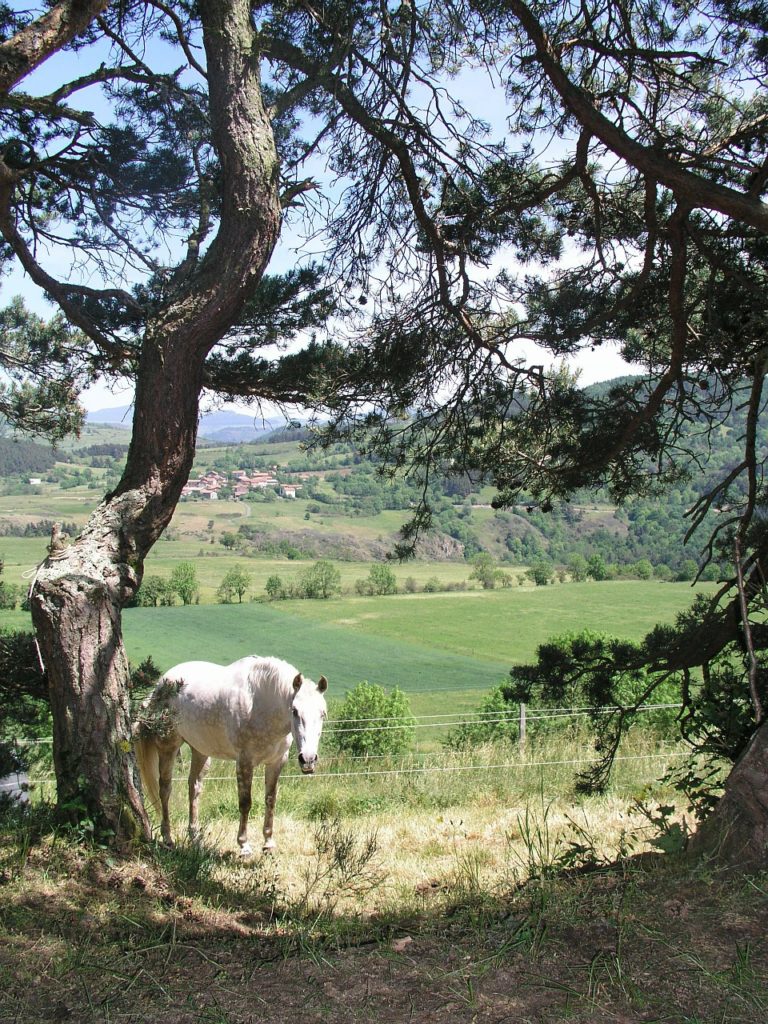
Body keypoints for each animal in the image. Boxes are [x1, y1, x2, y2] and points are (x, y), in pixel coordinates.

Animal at [134, 655, 329, 856]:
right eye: (295, 711)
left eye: (323, 713)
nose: (308, 759)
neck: (260, 704)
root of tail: (161, 685)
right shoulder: (245, 762)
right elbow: (245, 802)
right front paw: (244, 845)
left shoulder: (276, 762)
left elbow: (271, 800)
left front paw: (268, 843)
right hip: (168, 747)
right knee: (165, 789)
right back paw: (168, 839)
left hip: (201, 751)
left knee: (194, 788)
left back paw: (195, 838)